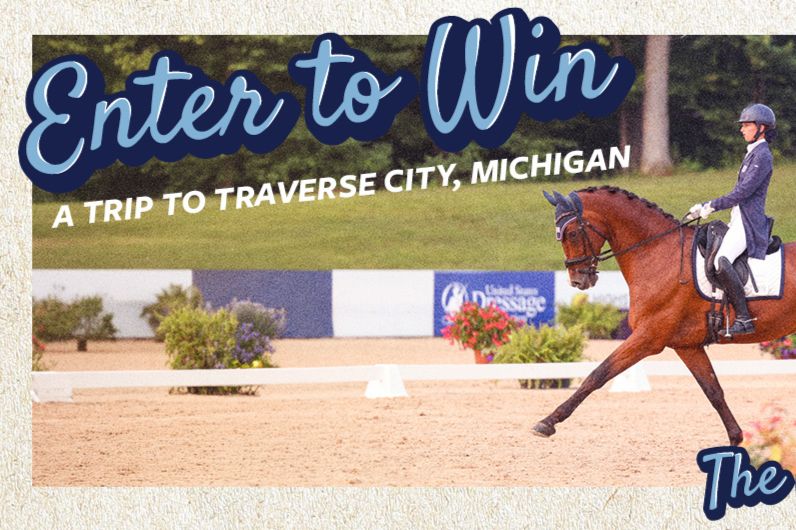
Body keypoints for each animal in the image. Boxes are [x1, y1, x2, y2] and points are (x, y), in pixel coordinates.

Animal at [536, 186, 795, 445]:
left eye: (571, 234)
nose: (578, 281)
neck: (657, 253)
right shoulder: (687, 346)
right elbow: (713, 391)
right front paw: (735, 439)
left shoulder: (648, 337)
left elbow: (598, 374)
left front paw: (548, 422)